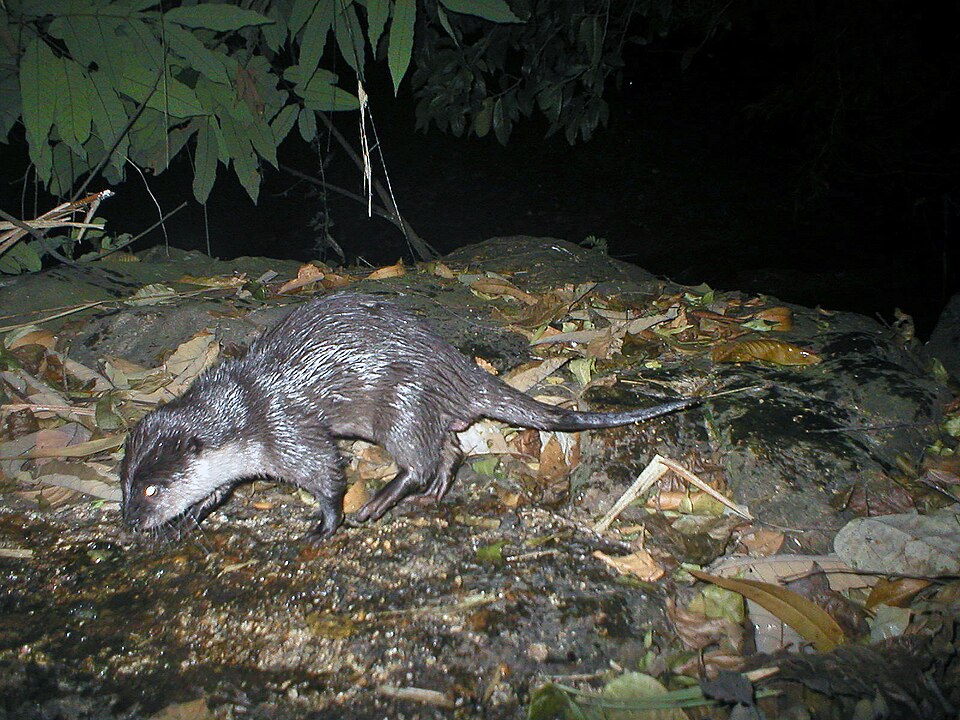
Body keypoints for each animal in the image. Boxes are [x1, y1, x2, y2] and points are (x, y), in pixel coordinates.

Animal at [121, 292, 698, 539]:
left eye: (150, 489)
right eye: (126, 485)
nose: (129, 523)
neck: (244, 408)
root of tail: (456, 368)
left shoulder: (287, 432)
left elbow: (326, 474)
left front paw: (324, 526)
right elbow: (216, 490)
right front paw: (189, 518)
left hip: (400, 405)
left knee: (417, 460)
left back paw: (379, 503)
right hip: (421, 411)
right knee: (450, 450)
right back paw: (434, 494)